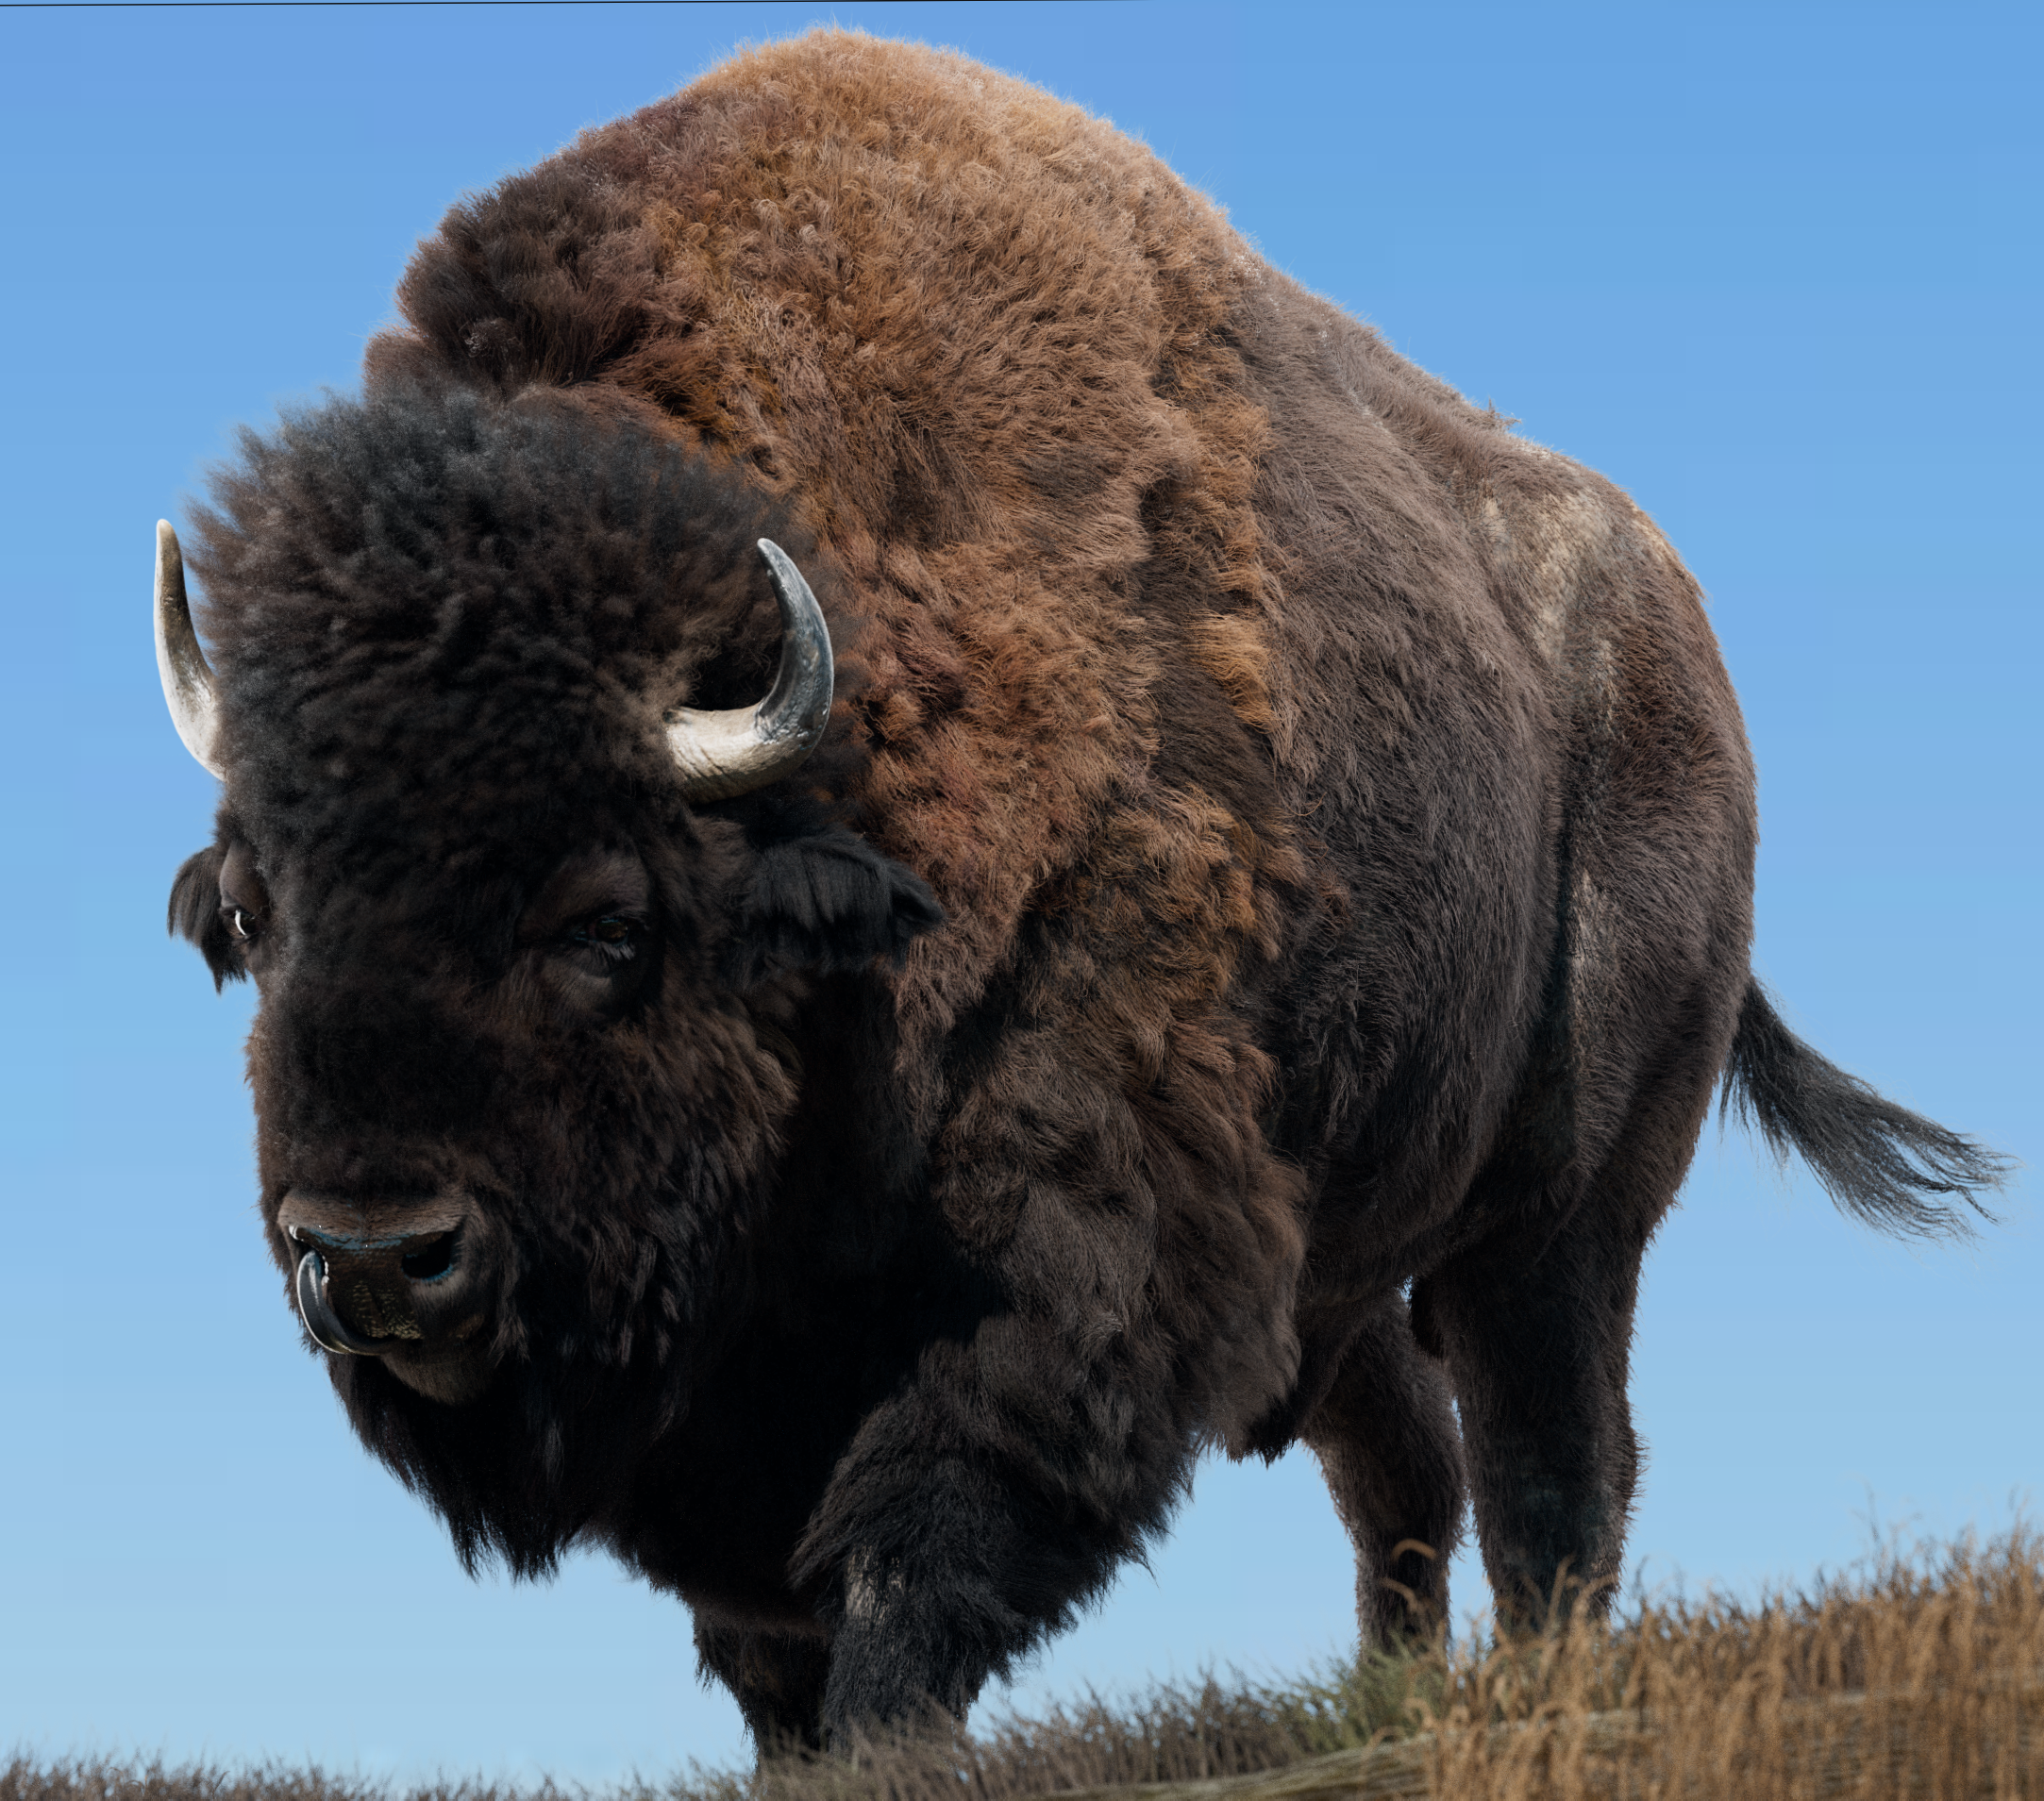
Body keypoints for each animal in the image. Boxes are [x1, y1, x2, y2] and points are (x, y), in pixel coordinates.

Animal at [159, 31, 2004, 1751]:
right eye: (251, 911)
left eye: (608, 918)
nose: (372, 1252)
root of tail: (1675, 638)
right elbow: (767, 1643)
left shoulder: (1074, 1257)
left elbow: (915, 1552)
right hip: (1341, 1270)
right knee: (1408, 1464)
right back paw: (1388, 1693)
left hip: (1565, 1208)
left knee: (1555, 1459)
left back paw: (1537, 1694)